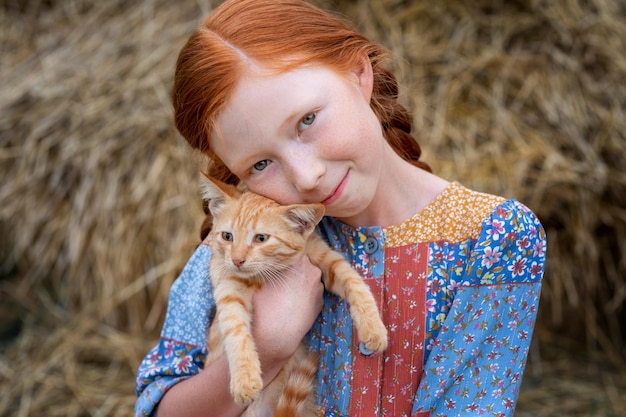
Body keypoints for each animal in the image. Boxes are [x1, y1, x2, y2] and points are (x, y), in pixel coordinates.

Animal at [201, 176, 386, 416]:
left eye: (261, 238)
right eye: (227, 236)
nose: (237, 260)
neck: (266, 274)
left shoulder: (326, 258)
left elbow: (355, 282)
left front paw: (374, 329)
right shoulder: (228, 287)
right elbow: (235, 329)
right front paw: (244, 379)